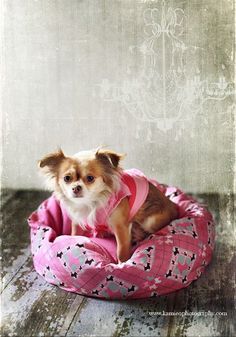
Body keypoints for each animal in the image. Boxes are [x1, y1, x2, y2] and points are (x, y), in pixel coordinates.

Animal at [39, 148, 179, 262]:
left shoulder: (121, 226)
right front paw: (72, 240)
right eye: (67, 178)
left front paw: (123, 264)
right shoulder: (77, 221)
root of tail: (174, 206)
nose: (76, 188)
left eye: (90, 178)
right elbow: (75, 234)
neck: (90, 203)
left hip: (151, 221)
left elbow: (121, 250)